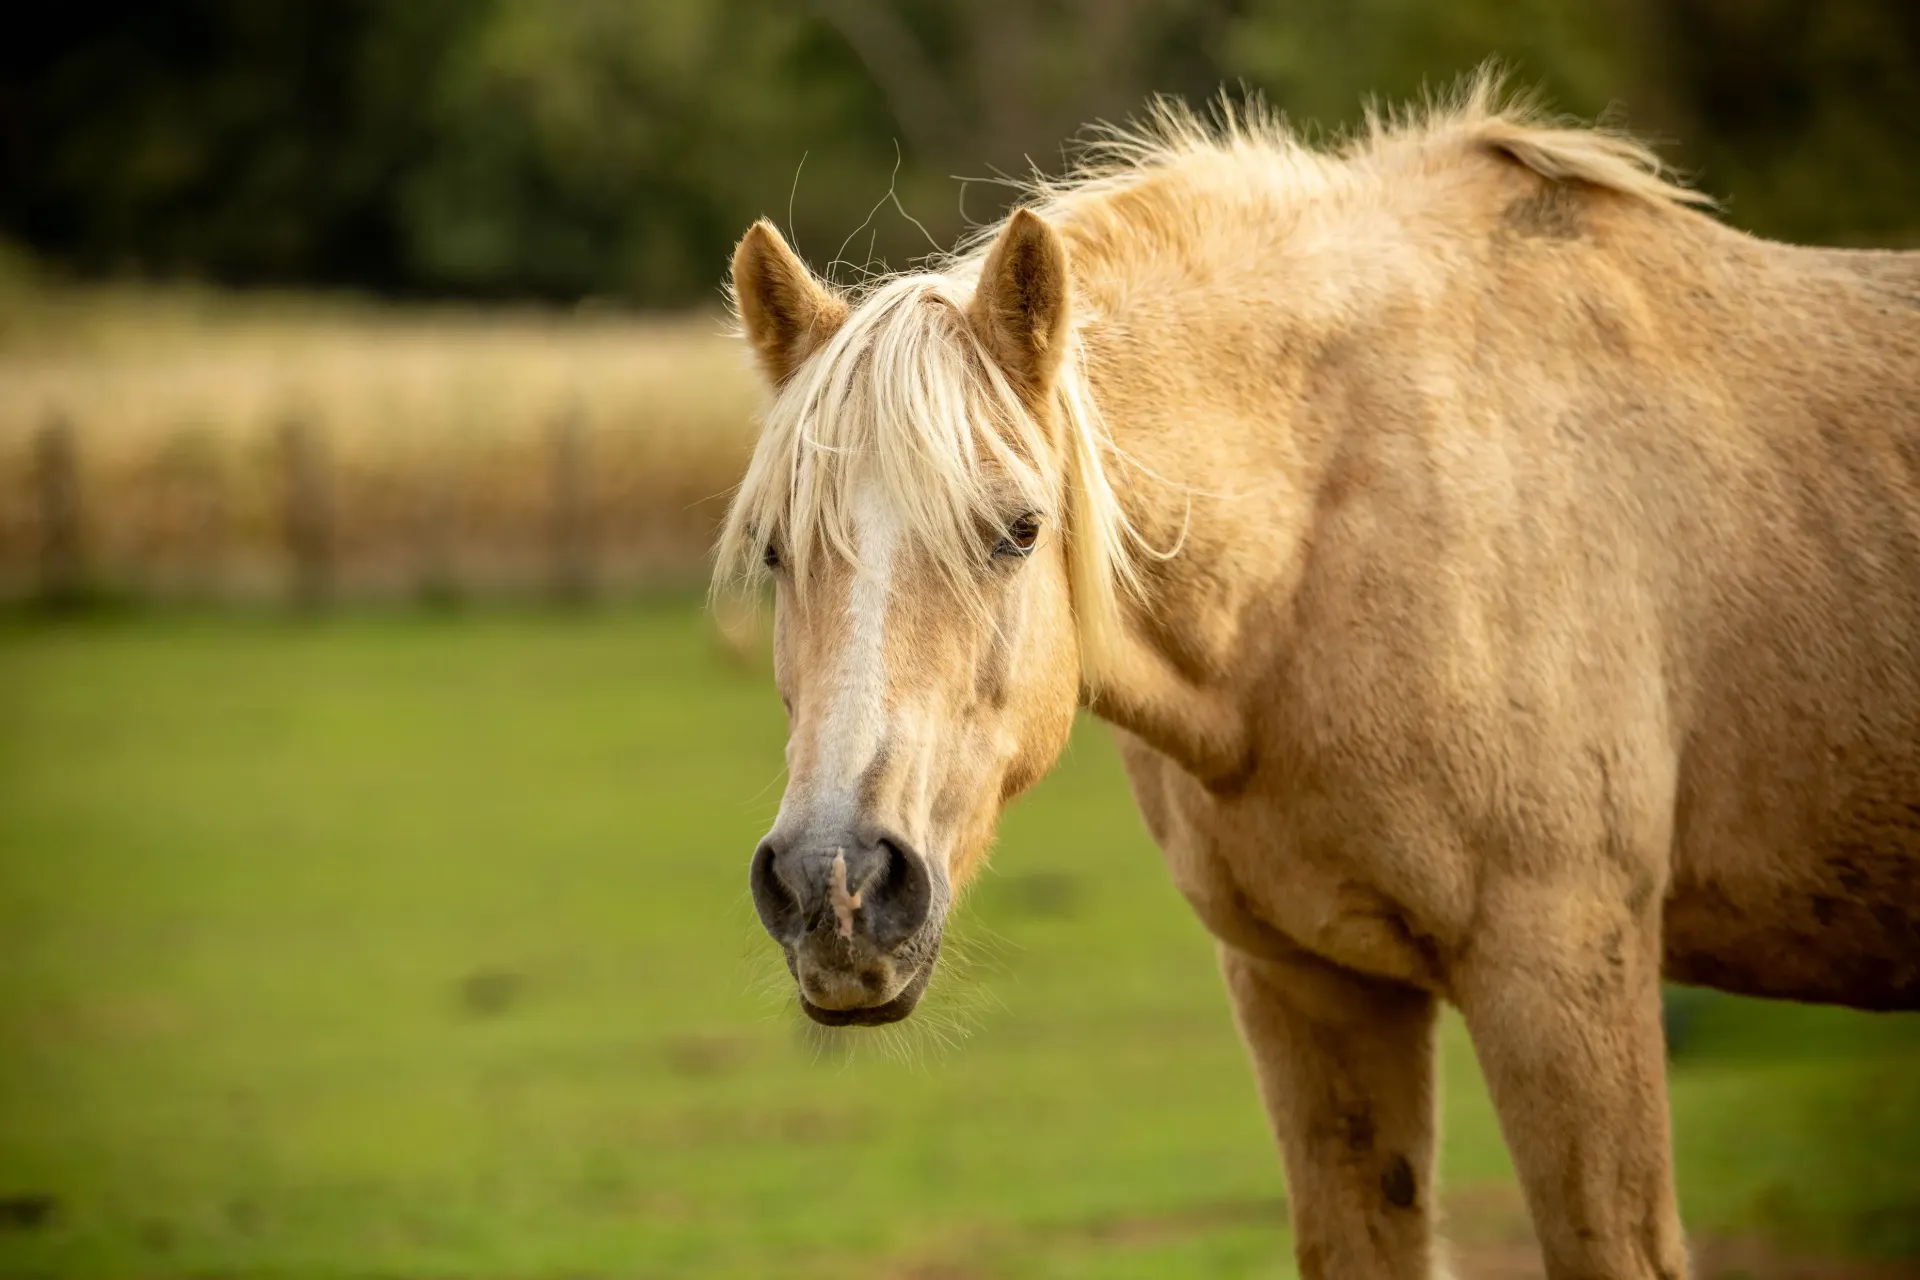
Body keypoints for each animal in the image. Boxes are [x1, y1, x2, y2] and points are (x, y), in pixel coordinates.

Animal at [715, 76, 1920, 1278]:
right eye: (775, 550)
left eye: (1018, 530)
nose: (835, 889)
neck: (1340, 533)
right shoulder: (1308, 985)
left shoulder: (1566, 974)